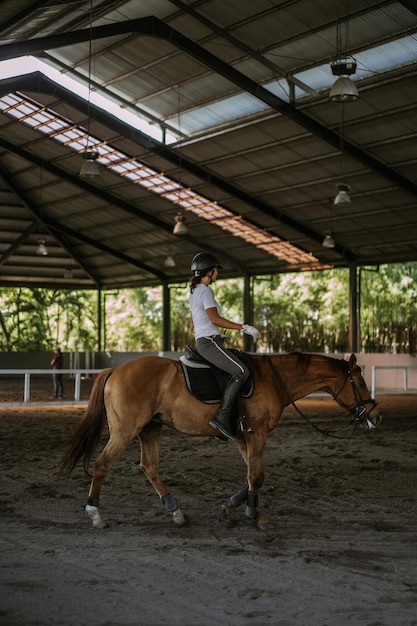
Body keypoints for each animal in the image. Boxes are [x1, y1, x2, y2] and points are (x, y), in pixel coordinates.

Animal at [57, 352, 380, 528]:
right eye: (360, 382)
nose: (375, 417)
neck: (274, 379)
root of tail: (115, 370)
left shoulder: (243, 436)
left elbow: (252, 475)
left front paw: (235, 507)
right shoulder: (257, 433)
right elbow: (257, 475)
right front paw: (253, 514)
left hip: (150, 428)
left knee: (149, 467)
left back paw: (176, 512)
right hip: (126, 430)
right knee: (102, 464)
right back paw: (96, 515)